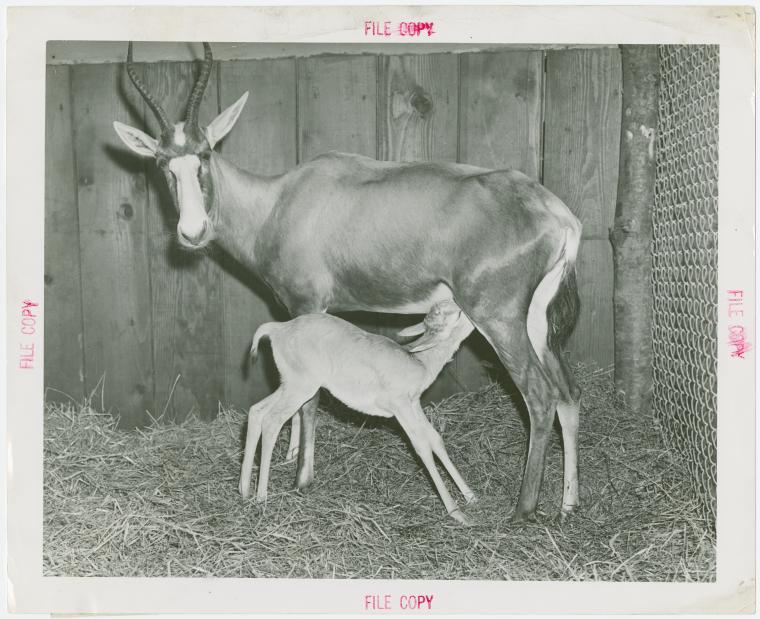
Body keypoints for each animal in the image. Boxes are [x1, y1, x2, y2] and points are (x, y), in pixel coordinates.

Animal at [239, 300, 477, 524]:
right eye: (456, 312)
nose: (472, 314)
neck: (419, 362)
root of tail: (278, 328)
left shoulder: (414, 404)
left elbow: (436, 439)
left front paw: (471, 496)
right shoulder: (400, 405)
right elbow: (422, 447)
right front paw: (457, 513)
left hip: (289, 385)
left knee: (256, 411)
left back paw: (244, 490)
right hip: (299, 388)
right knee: (272, 421)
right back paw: (261, 498)